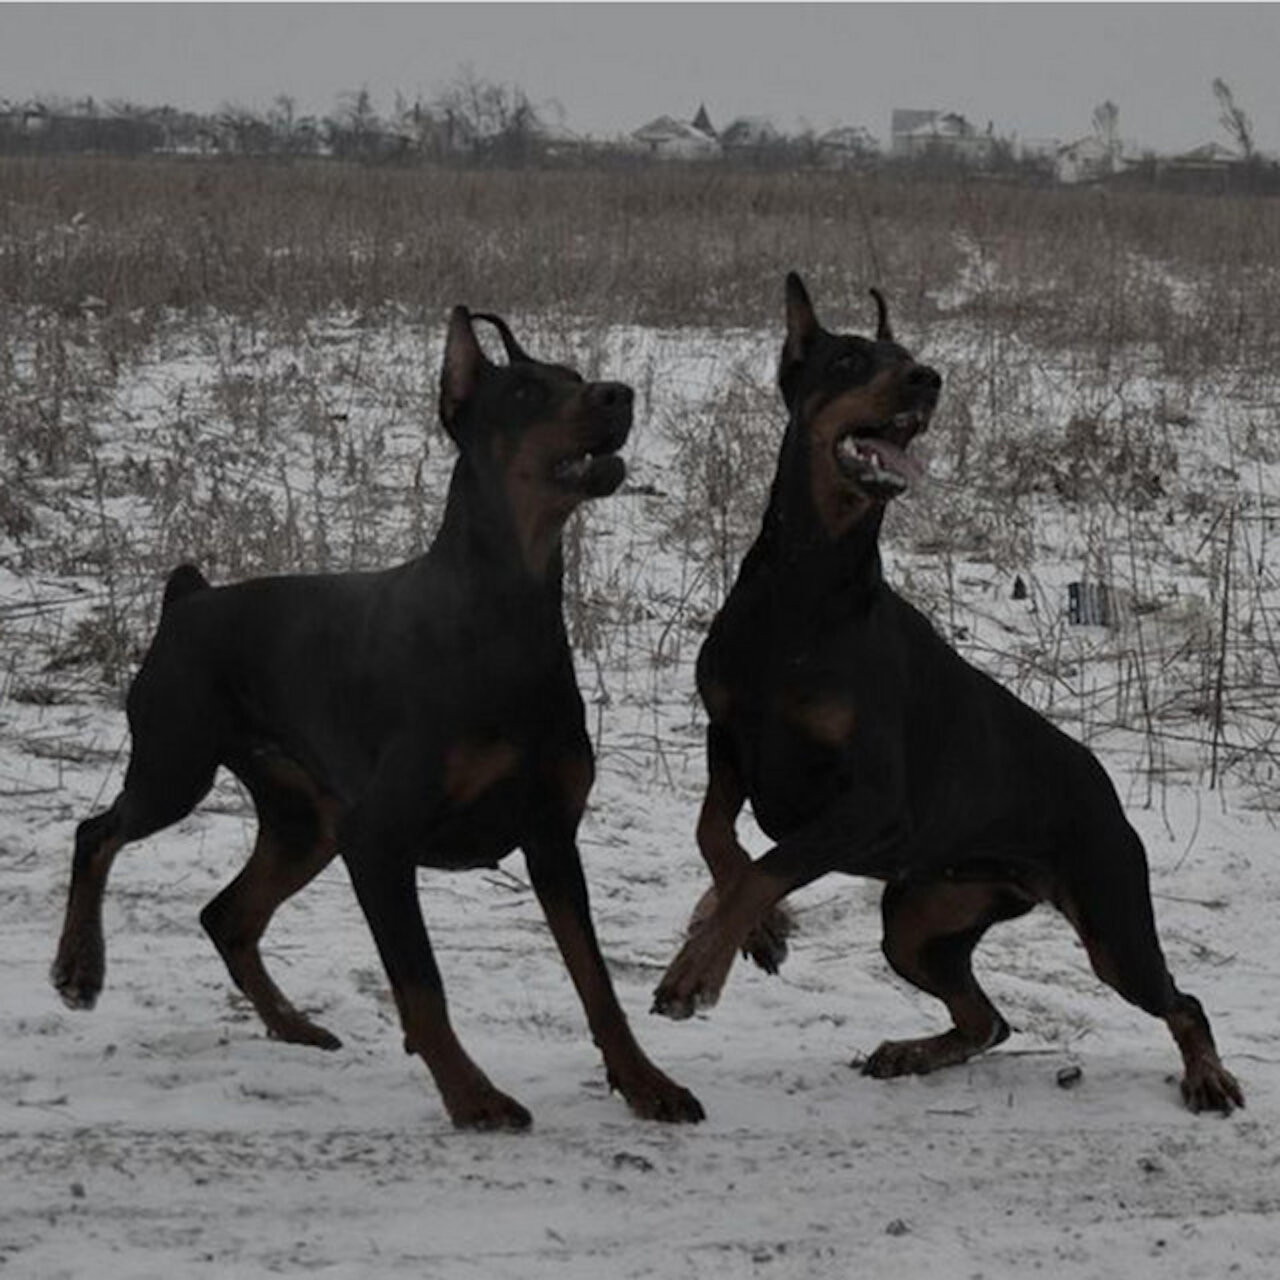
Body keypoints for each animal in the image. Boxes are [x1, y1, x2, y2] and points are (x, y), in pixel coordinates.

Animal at [52, 306, 704, 1130]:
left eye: (577, 376)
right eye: (525, 391)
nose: (620, 395)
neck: (504, 616)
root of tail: (187, 599)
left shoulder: (553, 837)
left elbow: (597, 982)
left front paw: (647, 1082)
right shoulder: (380, 843)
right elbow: (422, 986)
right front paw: (473, 1095)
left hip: (305, 823)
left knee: (226, 915)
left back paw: (293, 1025)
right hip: (179, 764)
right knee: (98, 834)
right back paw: (79, 969)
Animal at [652, 272, 1243, 1114]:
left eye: (907, 354)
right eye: (848, 358)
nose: (927, 379)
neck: (806, 592)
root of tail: (1103, 784)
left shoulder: (873, 802)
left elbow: (768, 863)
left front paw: (698, 971)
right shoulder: (729, 735)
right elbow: (720, 841)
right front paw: (755, 933)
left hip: (1112, 920)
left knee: (1178, 1001)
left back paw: (1208, 1076)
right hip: (918, 916)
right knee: (985, 1019)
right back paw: (911, 1051)